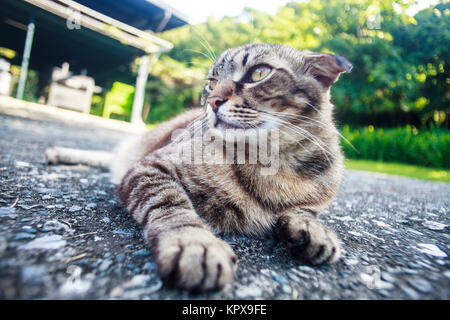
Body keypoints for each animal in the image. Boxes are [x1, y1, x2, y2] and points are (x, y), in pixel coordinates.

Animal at [47, 43, 354, 292]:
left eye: (259, 73)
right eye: (212, 81)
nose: (212, 101)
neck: (272, 162)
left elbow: (303, 210)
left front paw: (313, 229)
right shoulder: (149, 167)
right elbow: (172, 206)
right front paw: (196, 244)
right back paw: (60, 152)